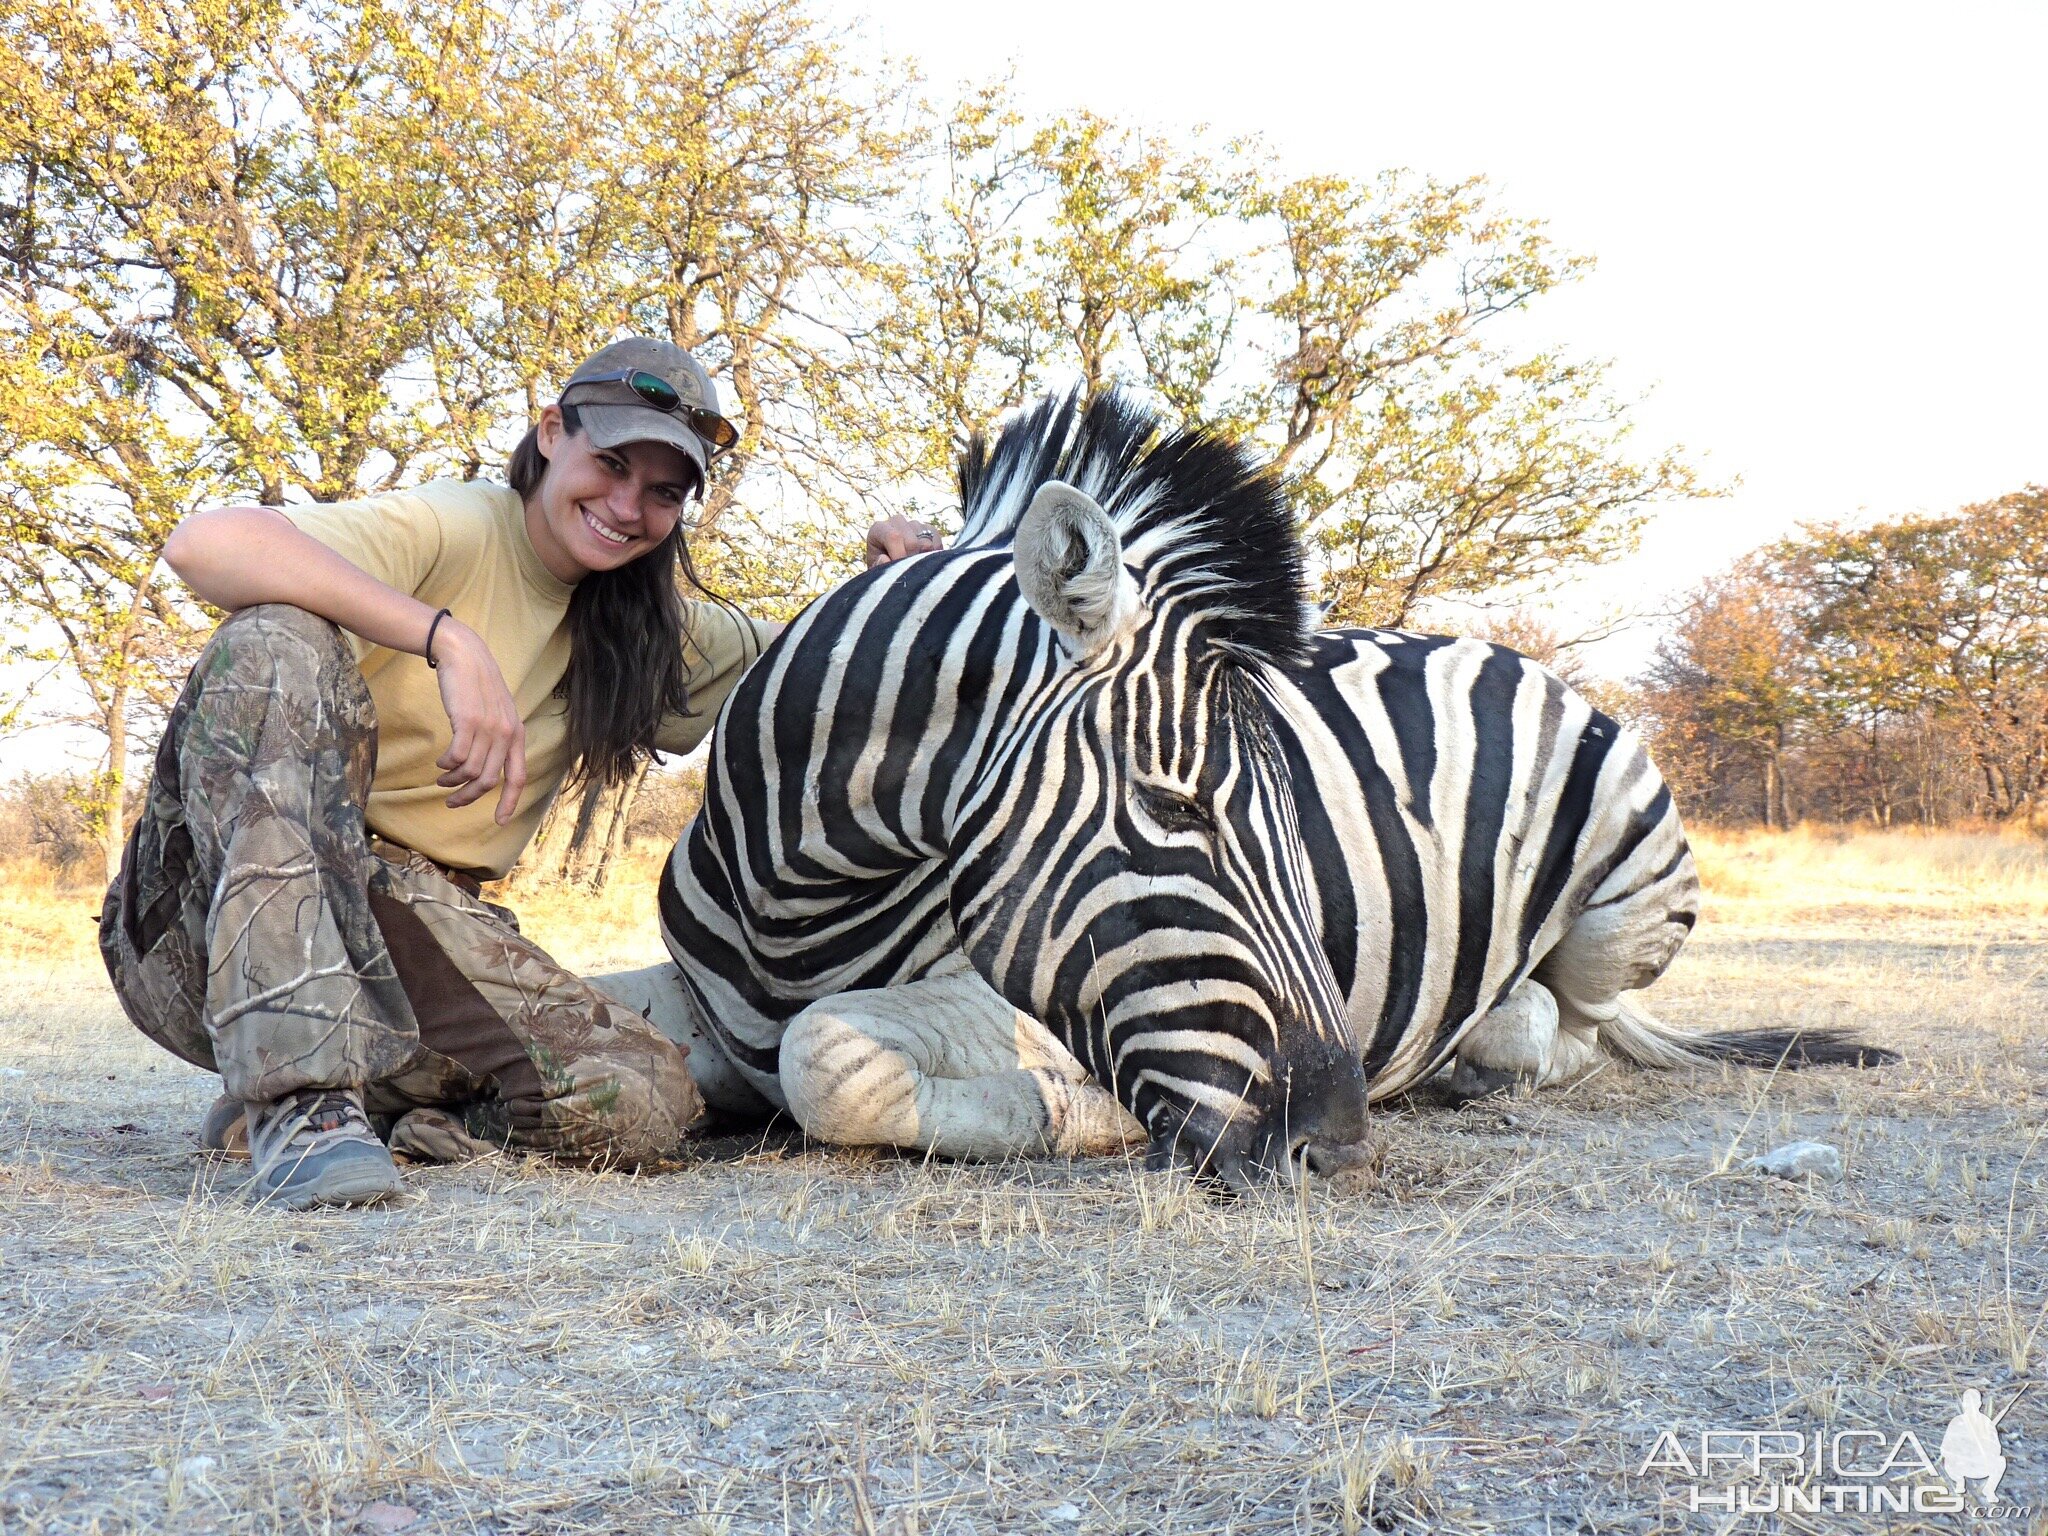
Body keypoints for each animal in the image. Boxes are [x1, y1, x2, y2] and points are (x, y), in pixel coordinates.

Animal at [589, 391, 1884, 1187]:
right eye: (1176, 809)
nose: (1337, 1145)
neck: (788, 900)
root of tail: (1493, 647)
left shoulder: (1013, 997)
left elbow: (826, 1062)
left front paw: (1076, 1119)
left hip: (1624, 898)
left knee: (1569, 1025)